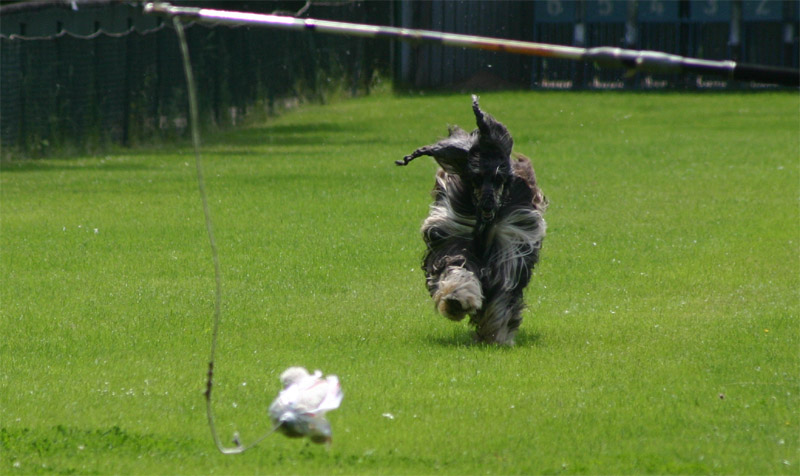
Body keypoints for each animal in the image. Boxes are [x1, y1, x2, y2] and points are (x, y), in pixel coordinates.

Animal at [396, 95, 548, 344]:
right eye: (476, 177)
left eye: (499, 178)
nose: (487, 205)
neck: (484, 225)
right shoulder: (453, 236)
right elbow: (457, 267)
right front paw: (456, 300)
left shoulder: (511, 245)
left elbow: (502, 293)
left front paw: (495, 333)